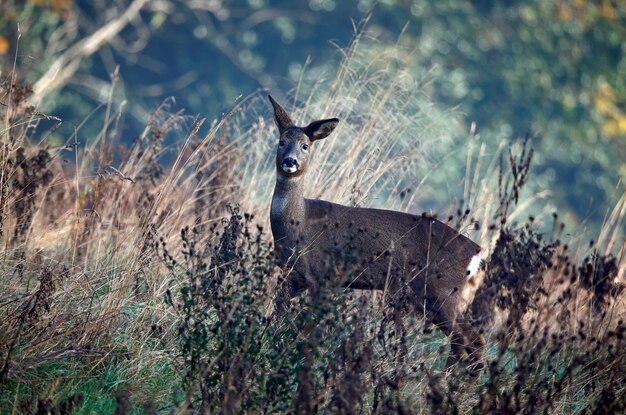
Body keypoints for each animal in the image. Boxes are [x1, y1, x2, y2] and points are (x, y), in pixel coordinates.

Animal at [266, 96, 486, 376]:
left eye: (305, 145)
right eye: (281, 141)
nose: (290, 161)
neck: (298, 224)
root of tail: (477, 255)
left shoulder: (320, 276)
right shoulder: (292, 277)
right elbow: (278, 317)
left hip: (442, 291)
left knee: (469, 340)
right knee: (467, 342)